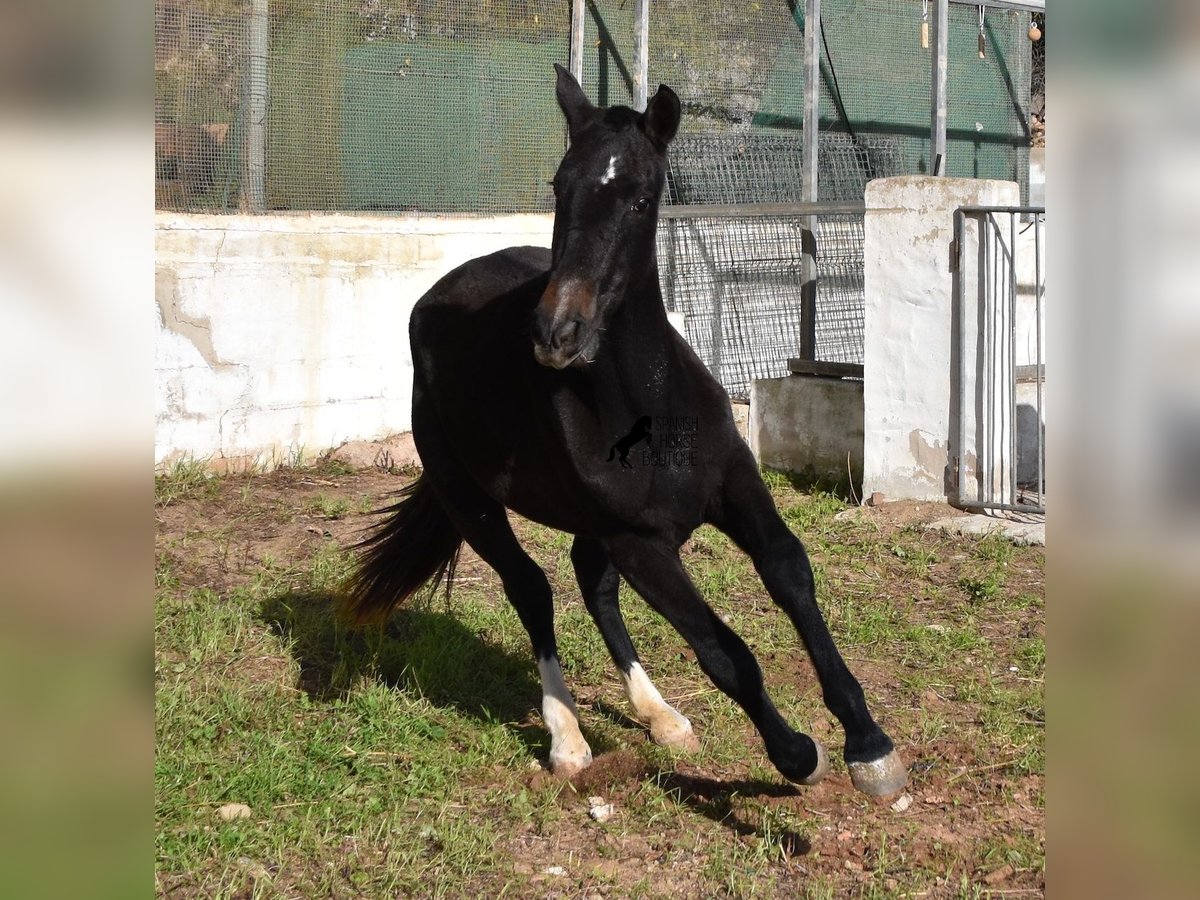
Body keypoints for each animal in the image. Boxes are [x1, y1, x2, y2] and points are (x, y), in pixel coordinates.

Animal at [343, 66, 902, 801]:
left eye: (639, 198)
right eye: (560, 187)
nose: (556, 333)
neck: (651, 411)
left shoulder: (732, 483)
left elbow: (790, 574)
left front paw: (870, 746)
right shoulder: (641, 543)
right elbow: (725, 651)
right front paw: (794, 754)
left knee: (589, 583)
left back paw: (660, 716)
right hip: (470, 499)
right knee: (533, 589)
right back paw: (568, 739)